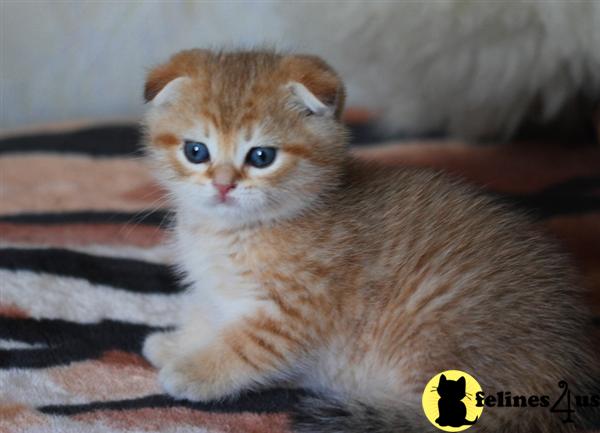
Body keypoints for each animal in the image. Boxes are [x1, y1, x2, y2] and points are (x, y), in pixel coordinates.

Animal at [143, 49, 596, 430]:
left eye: (261, 157)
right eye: (196, 151)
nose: (222, 186)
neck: (234, 232)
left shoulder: (296, 313)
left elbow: (246, 347)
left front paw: (194, 371)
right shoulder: (221, 293)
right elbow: (209, 315)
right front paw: (178, 343)